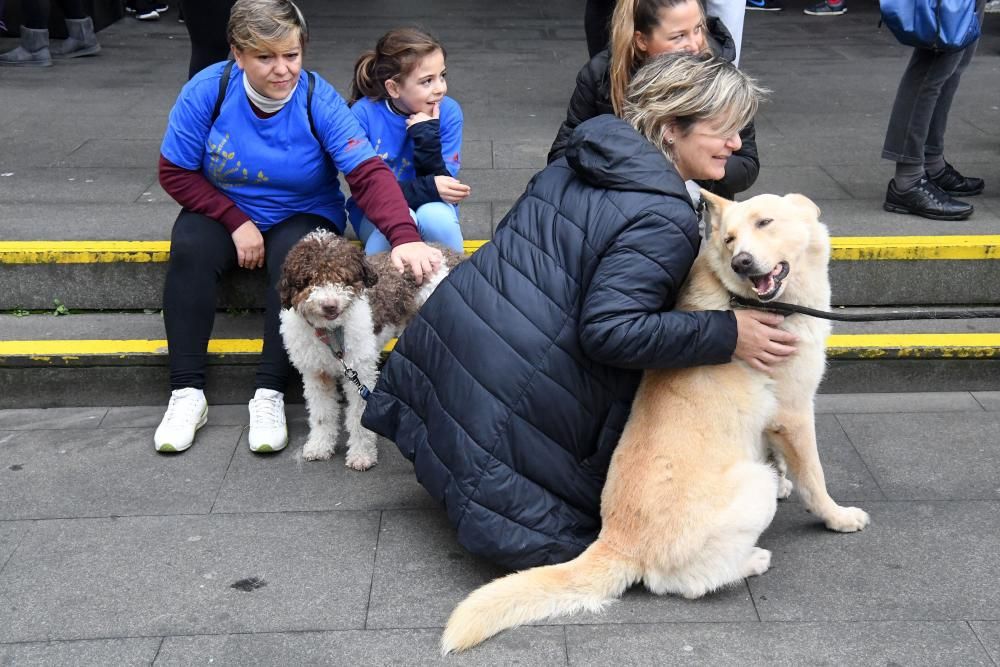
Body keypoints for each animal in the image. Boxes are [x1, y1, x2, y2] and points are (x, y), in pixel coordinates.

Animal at [280, 232, 462, 472]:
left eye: (343, 277)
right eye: (310, 280)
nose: (329, 305)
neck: (331, 332)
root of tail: (453, 256)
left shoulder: (360, 371)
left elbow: (358, 417)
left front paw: (361, 455)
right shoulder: (316, 373)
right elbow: (322, 413)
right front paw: (319, 446)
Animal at [442, 190, 872, 656]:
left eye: (765, 223)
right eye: (729, 239)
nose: (741, 261)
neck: (752, 302)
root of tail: (617, 541)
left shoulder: (774, 420)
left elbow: (782, 460)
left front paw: (786, 483)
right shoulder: (795, 412)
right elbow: (814, 477)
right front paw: (837, 517)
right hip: (747, 485)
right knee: (688, 584)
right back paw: (751, 561)